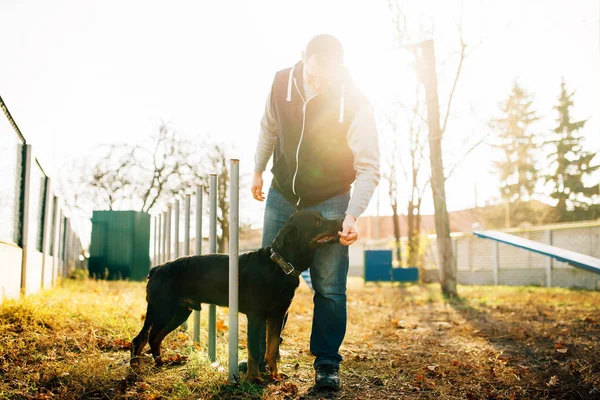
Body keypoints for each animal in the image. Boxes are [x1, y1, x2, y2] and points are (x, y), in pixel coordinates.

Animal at [129, 209, 342, 382]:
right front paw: (255, 378)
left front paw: (275, 375)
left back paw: (161, 363)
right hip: (160, 309)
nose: (342, 220)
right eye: (317, 222)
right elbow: (254, 351)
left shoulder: (277, 316)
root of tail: (157, 268)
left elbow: (272, 348)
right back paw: (135, 371)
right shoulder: (256, 316)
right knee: (140, 339)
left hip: (179, 312)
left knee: (155, 337)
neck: (280, 266)